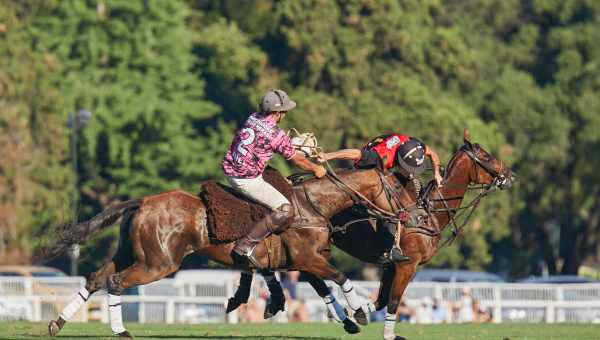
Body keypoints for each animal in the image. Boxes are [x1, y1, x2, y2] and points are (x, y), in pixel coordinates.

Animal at [42, 157, 408, 338]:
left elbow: (322, 287)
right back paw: (121, 332)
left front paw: (347, 320)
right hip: (159, 262)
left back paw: (57, 324)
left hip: (128, 253)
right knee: (115, 282)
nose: (410, 214)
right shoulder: (306, 258)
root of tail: (142, 201)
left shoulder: (300, 261)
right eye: (396, 189)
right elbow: (340, 278)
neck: (312, 205)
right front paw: (359, 313)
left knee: (95, 278)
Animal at [227, 131, 512, 340]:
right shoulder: (408, 265)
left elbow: (382, 299)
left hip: (317, 248)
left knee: (304, 273)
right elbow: (394, 301)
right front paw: (385, 332)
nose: (509, 175)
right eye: (486, 155)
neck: (428, 212)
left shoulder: (391, 265)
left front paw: (360, 312)